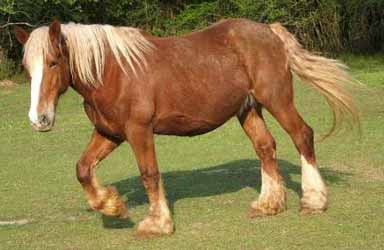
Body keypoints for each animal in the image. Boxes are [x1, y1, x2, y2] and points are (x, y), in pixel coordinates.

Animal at [15, 18, 356, 235]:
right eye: (27, 67)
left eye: (54, 62)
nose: (38, 119)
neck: (113, 71)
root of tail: (268, 31)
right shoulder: (109, 133)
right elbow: (83, 168)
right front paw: (112, 206)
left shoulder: (139, 131)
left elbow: (149, 174)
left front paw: (157, 223)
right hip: (247, 109)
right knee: (265, 147)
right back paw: (268, 204)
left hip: (277, 100)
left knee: (302, 136)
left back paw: (313, 201)